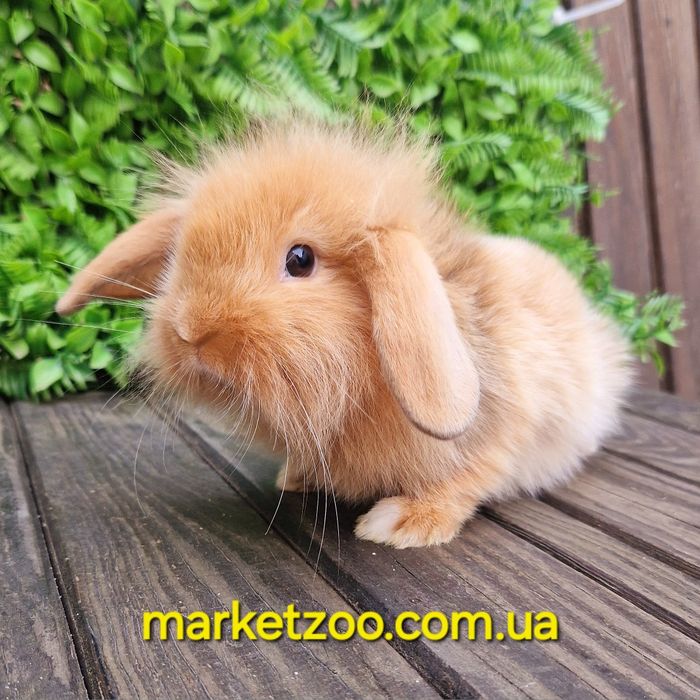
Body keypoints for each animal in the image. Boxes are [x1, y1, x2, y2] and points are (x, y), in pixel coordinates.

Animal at [56, 119, 633, 548]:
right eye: (179, 253)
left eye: (300, 259)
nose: (190, 332)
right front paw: (294, 477)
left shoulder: (501, 434)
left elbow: (463, 479)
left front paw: (401, 524)